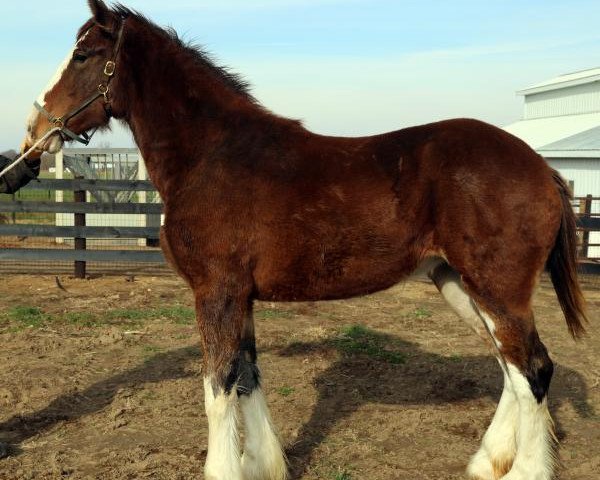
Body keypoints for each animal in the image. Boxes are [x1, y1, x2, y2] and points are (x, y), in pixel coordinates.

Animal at [22, 1, 584, 478]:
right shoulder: (239, 297)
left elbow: (217, 388)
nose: (32, 131)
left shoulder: (216, 293)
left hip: (497, 290)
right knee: (511, 367)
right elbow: (246, 375)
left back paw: (526, 469)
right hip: (460, 285)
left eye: (83, 54)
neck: (211, 155)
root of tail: (542, 169)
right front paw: (263, 465)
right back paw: (489, 460)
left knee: (534, 368)